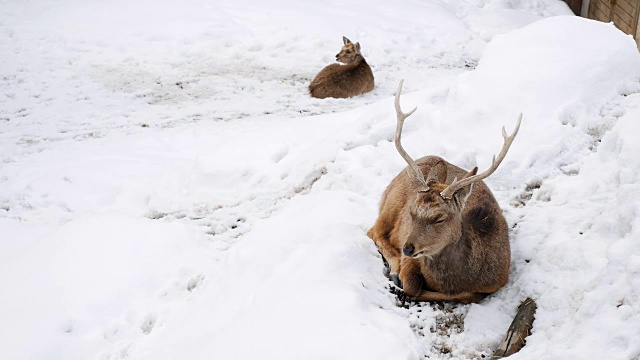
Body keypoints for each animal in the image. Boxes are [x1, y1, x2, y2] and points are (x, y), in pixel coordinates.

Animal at [368, 81, 524, 304]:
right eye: (411, 213)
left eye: (440, 218)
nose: (408, 248)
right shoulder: (413, 258)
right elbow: (412, 286)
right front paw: (398, 280)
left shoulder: (498, 280)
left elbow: (466, 295)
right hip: (391, 202)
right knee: (374, 231)